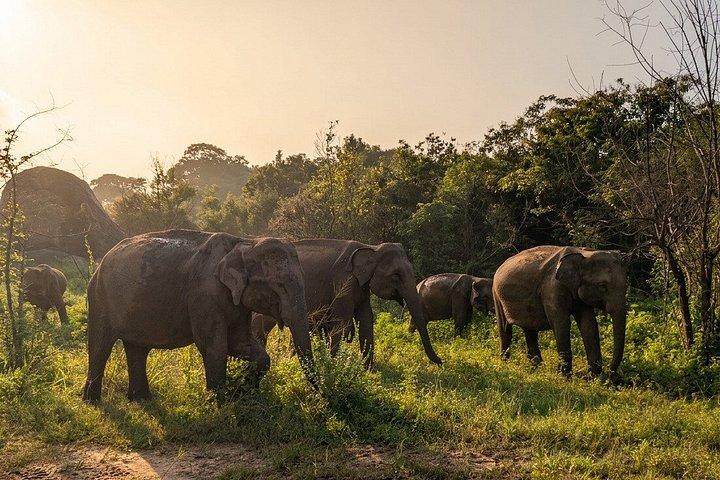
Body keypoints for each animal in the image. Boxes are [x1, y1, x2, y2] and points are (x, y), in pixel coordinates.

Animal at [82, 229, 316, 403]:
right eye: (279, 285)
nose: (317, 394)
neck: (245, 242)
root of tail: (101, 263)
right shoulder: (204, 296)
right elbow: (215, 346)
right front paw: (220, 402)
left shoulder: (238, 303)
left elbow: (240, 343)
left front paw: (244, 394)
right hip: (100, 297)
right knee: (100, 345)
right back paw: (92, 401)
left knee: (137, 349)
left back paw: (141, 399)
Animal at [252, 239, 442, 369]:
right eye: (396, 275)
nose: (441, 362)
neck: (372, 248)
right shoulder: (343, 281)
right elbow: (341, 322)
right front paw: (334, 366)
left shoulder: (362, 287)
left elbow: (366, 320)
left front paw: (368, 371)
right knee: (261, 322)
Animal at [492, 246, 627, 378]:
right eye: (602, 285)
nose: (610, 375)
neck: (583, 252)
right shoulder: (552, 288)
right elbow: (561, 323)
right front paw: (564, 376)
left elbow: (589, 324)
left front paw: (593, 378)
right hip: (496, 294)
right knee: (505, 329)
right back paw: (505, 363)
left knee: (530, 330)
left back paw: (536, 368)